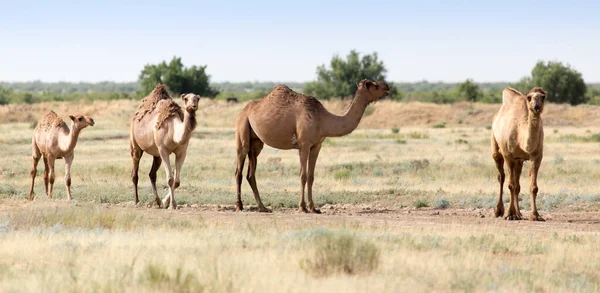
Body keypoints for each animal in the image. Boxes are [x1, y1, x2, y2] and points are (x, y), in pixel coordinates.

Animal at [232, 78, 392, 213]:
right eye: (374, 85)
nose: (387, 86)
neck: (323, 120)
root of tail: (243, 110)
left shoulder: (316, 146)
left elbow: (311, 176)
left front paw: (313, 208)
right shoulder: (304, 145)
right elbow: (302, 175)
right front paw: (302, 207)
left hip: (257, 143)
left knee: (251, 173)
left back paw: (263, 207)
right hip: (242, 129)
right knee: (239, 170)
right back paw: (239, 206)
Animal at [490, 87, 548, 221]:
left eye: (543, 97)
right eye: (529, 97)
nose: (536, 106)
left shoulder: (537, 155)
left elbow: (533, 187)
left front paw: (535, 215)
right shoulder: (508, 155)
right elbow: (511, 185)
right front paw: (509, 215)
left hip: (519, 160)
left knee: (517, 184)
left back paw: (519, 213)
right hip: (496, 148)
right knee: (501, 176)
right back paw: (499, 211)